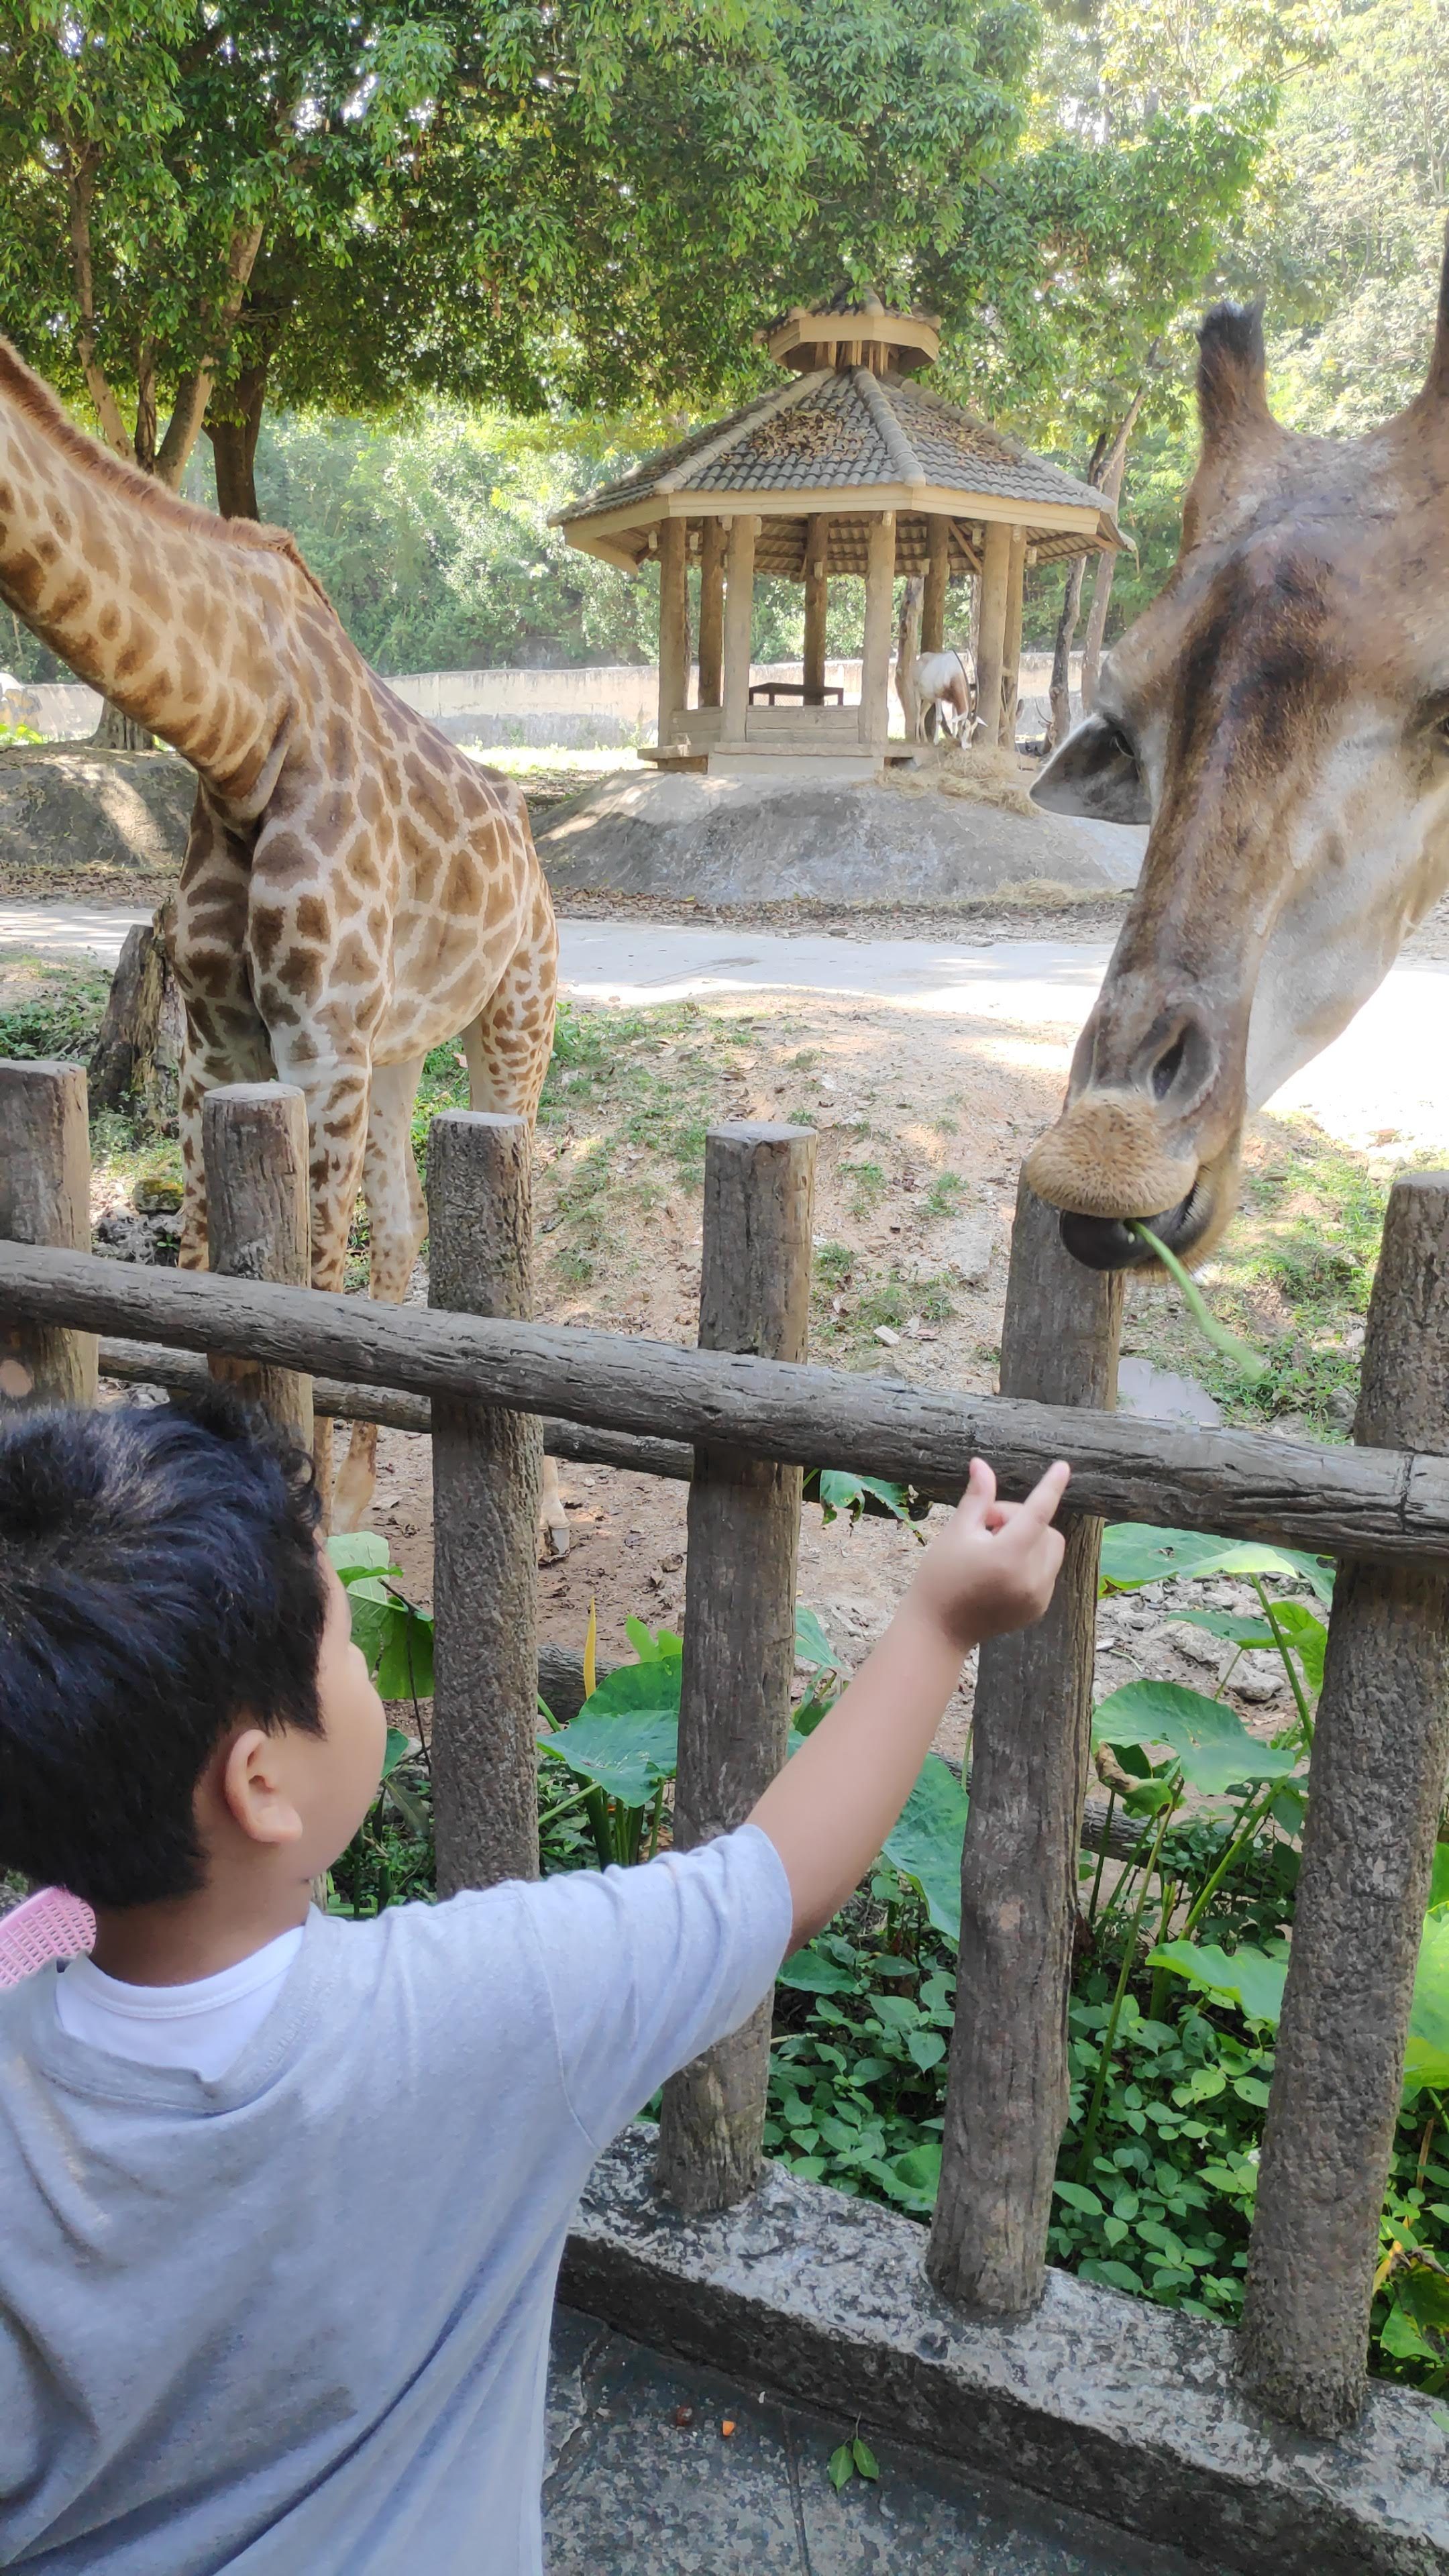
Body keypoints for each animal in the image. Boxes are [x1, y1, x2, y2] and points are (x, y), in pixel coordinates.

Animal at [0, 342, 567, 1546]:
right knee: (402, 1229)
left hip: (513, 1018)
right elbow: (210, 1291)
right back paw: (355, 1497)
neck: (236, 733)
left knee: (499, 1228)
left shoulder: (318, 1038)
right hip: (398, 1048)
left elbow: (303, 1297)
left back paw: (538, 1514)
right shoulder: (217, 1043)